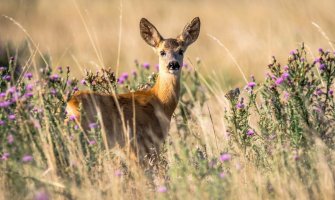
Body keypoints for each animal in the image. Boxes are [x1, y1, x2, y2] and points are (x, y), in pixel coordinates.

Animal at [67, 16, 201, 162]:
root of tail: (70, 104)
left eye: (181, 51)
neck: (160, 102)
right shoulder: (144, 143)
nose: (173, 64)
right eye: (162, 52)